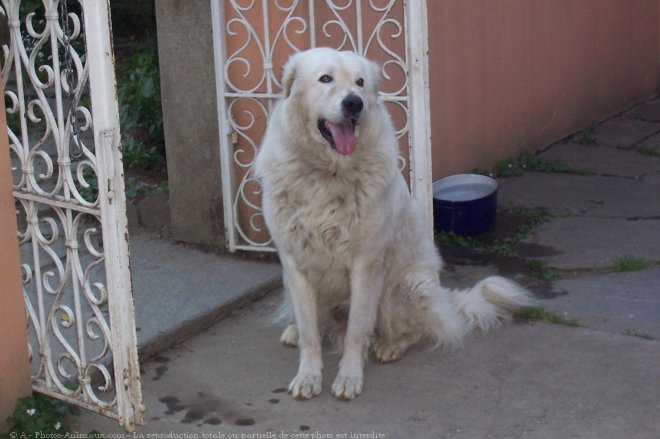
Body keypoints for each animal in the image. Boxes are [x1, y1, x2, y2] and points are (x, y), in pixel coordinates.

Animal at [255, 48, 532, 402]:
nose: (354, 103)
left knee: (421, 330)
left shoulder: (365, 265)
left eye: (360, 82)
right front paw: (308, 376)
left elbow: (357, 332)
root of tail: (442, 297)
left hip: (402, 288)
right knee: (315, 322)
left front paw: (349, 378)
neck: (328, 174)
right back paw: (293, 330)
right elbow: (310, 333)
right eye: (325, 78)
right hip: (292, 285)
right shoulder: (295, 265)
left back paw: (391, 346)